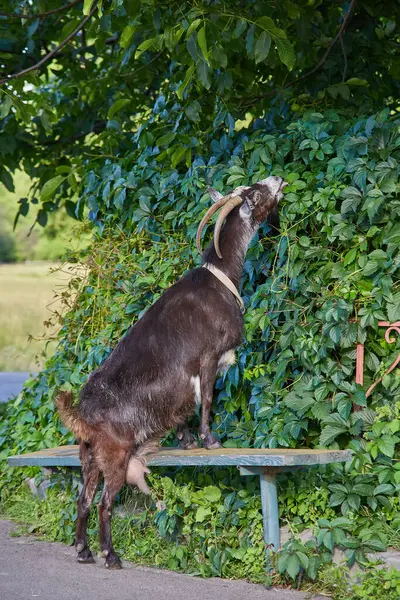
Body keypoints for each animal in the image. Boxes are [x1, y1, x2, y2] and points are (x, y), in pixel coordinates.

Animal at [56, 176, 286, 568]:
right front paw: (210, 440)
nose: (276, 180)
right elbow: (206, 399)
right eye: (254, 194)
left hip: (88, 458)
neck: (222, 276)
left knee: (83, 500)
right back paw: (110, 555)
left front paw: (187, 441)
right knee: (104, 504)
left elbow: (183, 410)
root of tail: (83, 416)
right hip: (115, 457)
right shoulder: (208, 356)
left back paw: (84, 552)